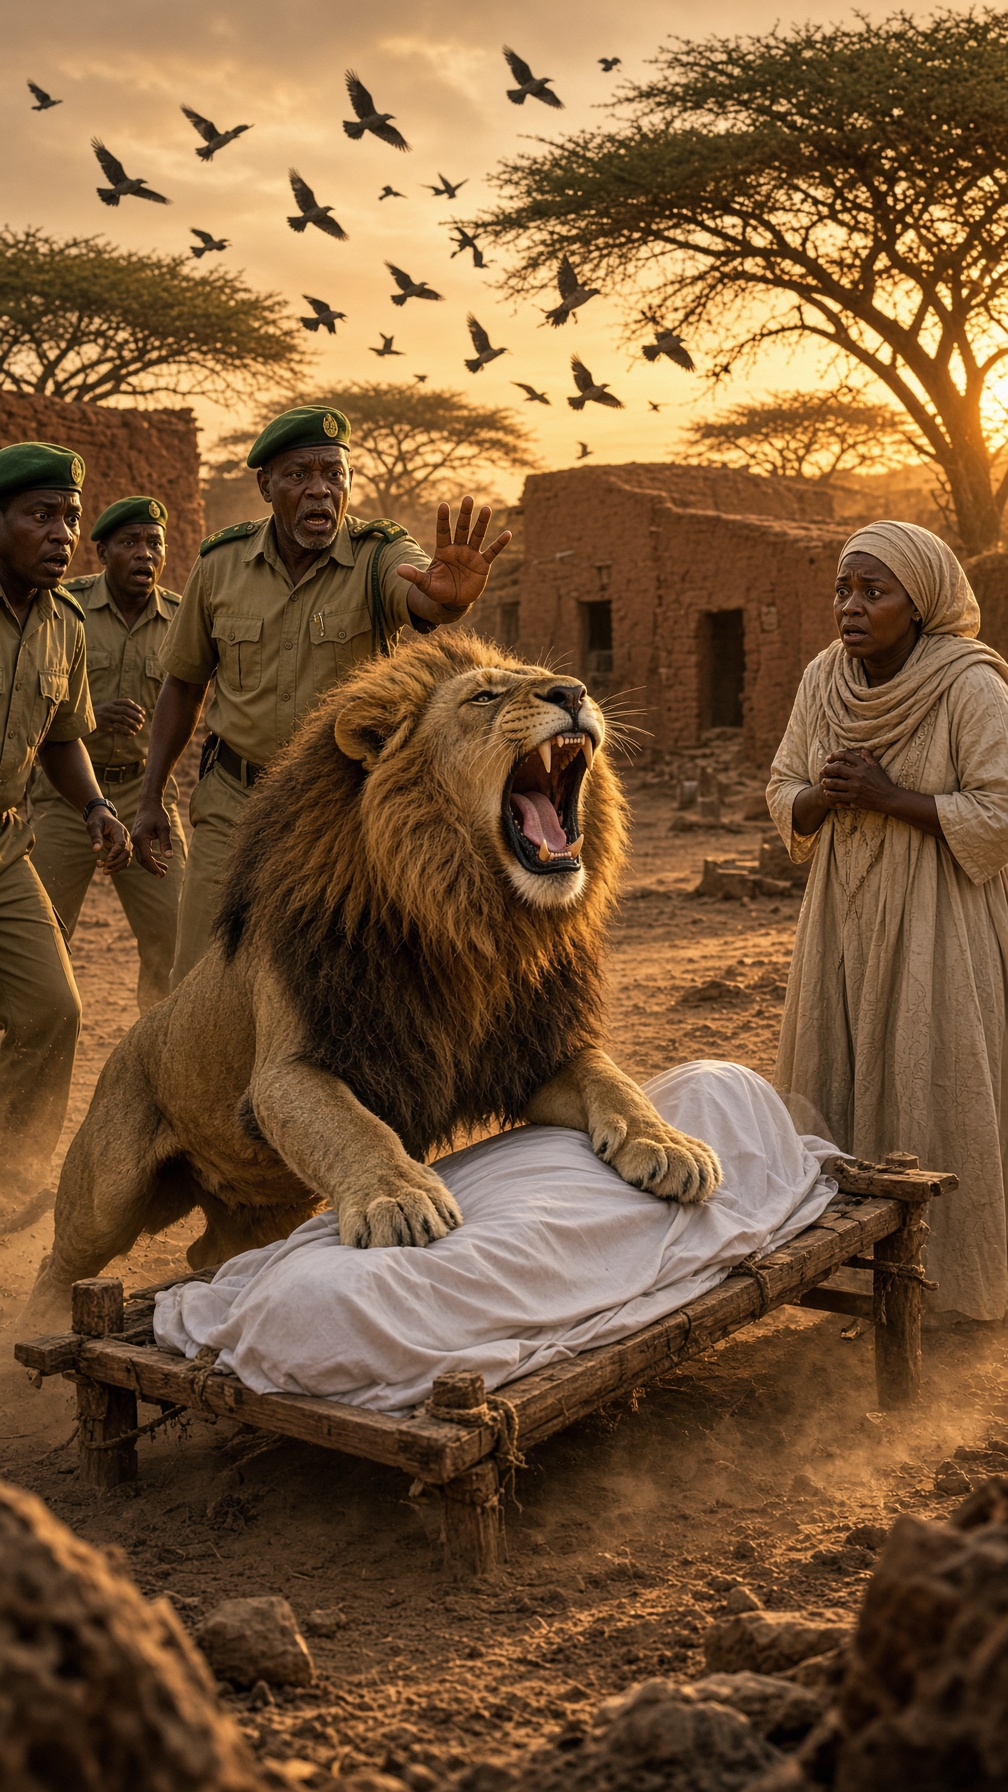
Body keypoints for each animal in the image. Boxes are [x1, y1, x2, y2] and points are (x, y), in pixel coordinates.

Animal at [25, 631, 720, 1327]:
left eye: (549, 679)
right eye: (483, 697)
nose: (574, 692)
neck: (470, 921)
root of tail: (132, 1036)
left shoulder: (532, 1054)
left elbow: (613, 1079)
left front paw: (669, 1143)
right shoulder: (287, 1072)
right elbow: (354, 1127)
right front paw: (400, 1197)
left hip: (262, 1206)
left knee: (208, 1250)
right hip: (108, 1190)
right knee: (60, 1262)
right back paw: (43, 1322)